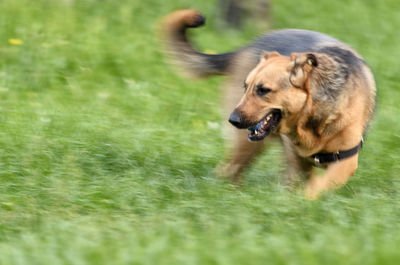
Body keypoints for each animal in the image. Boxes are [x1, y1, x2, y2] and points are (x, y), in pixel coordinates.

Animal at [161, 9, 376, 197]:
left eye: (263, 90)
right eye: (246, 86)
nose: (232, 120)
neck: (313, 115)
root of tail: (245, 47)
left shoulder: (344, 162)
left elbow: (315, 187)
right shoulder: (297, 161)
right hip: (247, 145)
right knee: (227, 171)